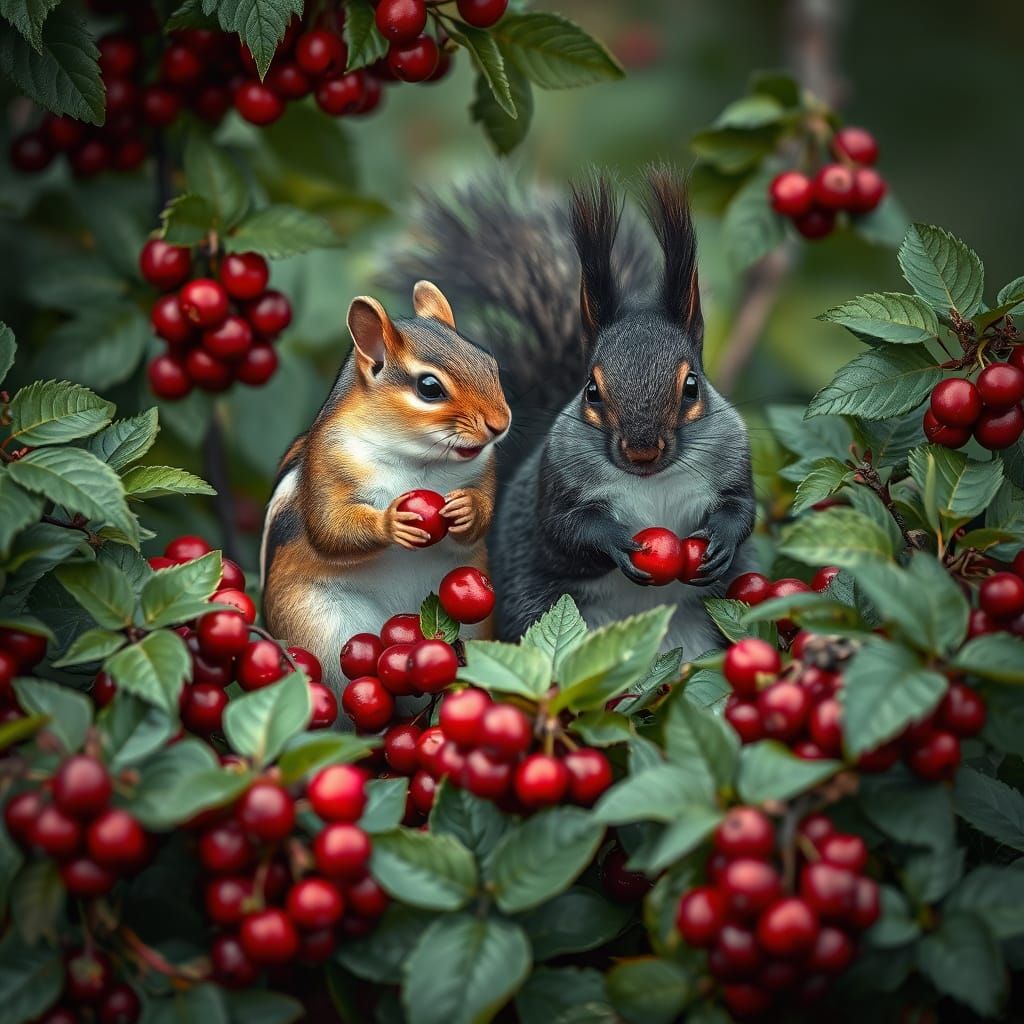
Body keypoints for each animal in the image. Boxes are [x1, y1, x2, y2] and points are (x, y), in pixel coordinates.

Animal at [260, 281, 511, 692]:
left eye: (490, 363)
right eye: (430, 388)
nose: (500, 423)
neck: (419, 460)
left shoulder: (484, 469)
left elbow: (484, 512)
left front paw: (468, 509)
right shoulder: (327, 465)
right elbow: (329, 528)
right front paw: (392, 523)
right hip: (319, 626)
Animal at [389, 169, 756, 656]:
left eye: (691, 386)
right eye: (592, 391)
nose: (642, 452)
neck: (651, 481)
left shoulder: (734, 459)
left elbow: (743, 509)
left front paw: (723, 538)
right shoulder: (556, 478)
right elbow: (566, 530)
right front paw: (616, 542)